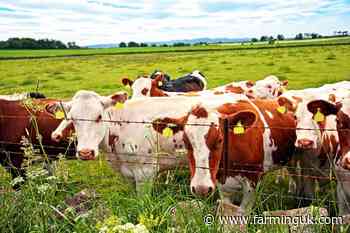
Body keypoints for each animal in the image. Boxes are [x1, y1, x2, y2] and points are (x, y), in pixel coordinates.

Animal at [152, 97, 296, 214]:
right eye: (186, 141)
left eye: (220, 140)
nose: (201, 188)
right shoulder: (221, 184)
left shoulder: (252, 182)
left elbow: (243, 212)